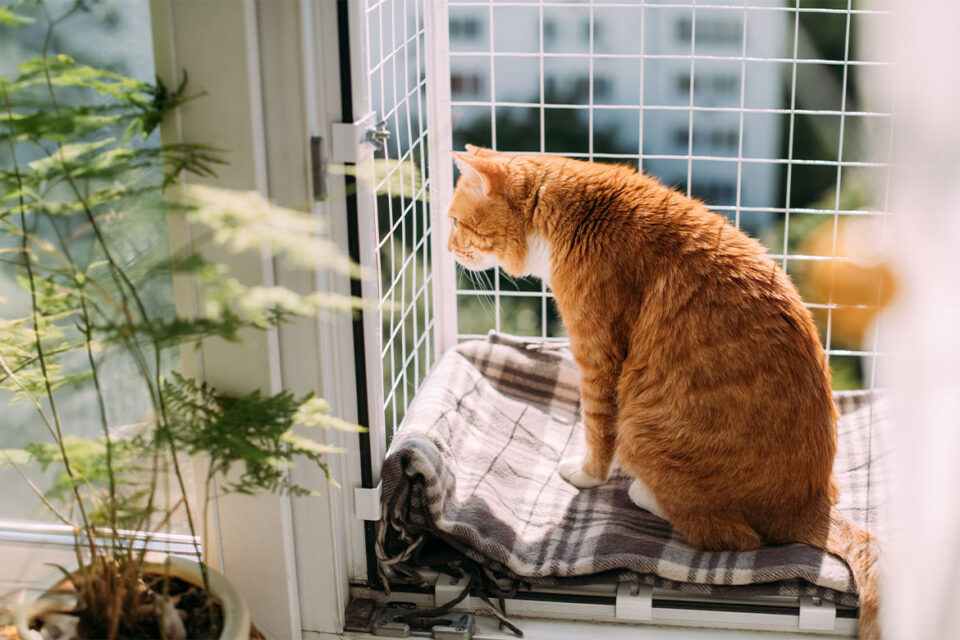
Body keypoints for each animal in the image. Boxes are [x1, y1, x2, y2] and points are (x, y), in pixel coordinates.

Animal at [446, 146, 880, 640]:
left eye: (456, 222)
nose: (448, 249)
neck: (570, 211)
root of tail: (810, 505)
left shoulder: (598, 356)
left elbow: (597, 428)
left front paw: (587, 473)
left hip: (642, 429)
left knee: (731, 535)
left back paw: (644, 493)